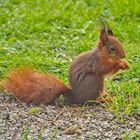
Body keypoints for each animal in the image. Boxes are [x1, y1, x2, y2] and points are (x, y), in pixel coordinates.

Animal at [1, 24, 129, 105]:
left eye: (121, 43)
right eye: (112, 48)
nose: (123, 56)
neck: (103, 54)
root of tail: (76, 97)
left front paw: (125, 63)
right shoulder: (96, 62)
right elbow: (104, 70)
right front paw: (119, 64)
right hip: (94, 81)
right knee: (88, 101)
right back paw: (99, 100)